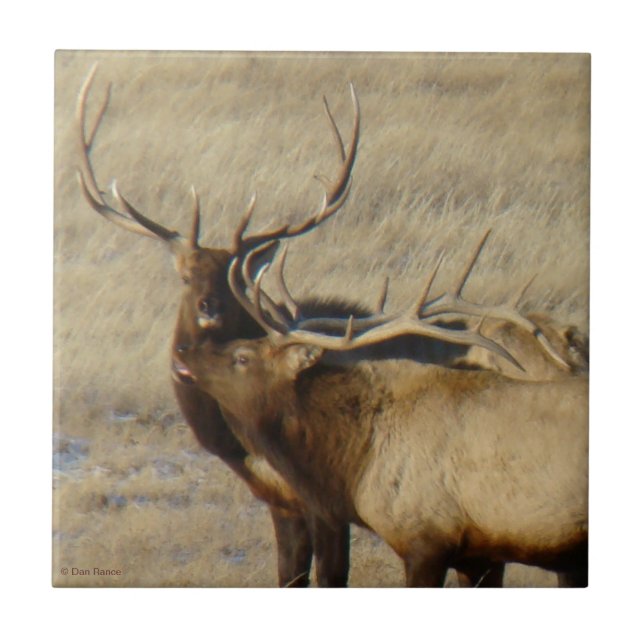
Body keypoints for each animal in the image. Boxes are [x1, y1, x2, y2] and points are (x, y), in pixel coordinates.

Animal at [171, 244, 589, 587]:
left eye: (242, 357)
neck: (354, 461)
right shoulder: (479, 553)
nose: (184, 353)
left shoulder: (426, 537)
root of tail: (573, 342)